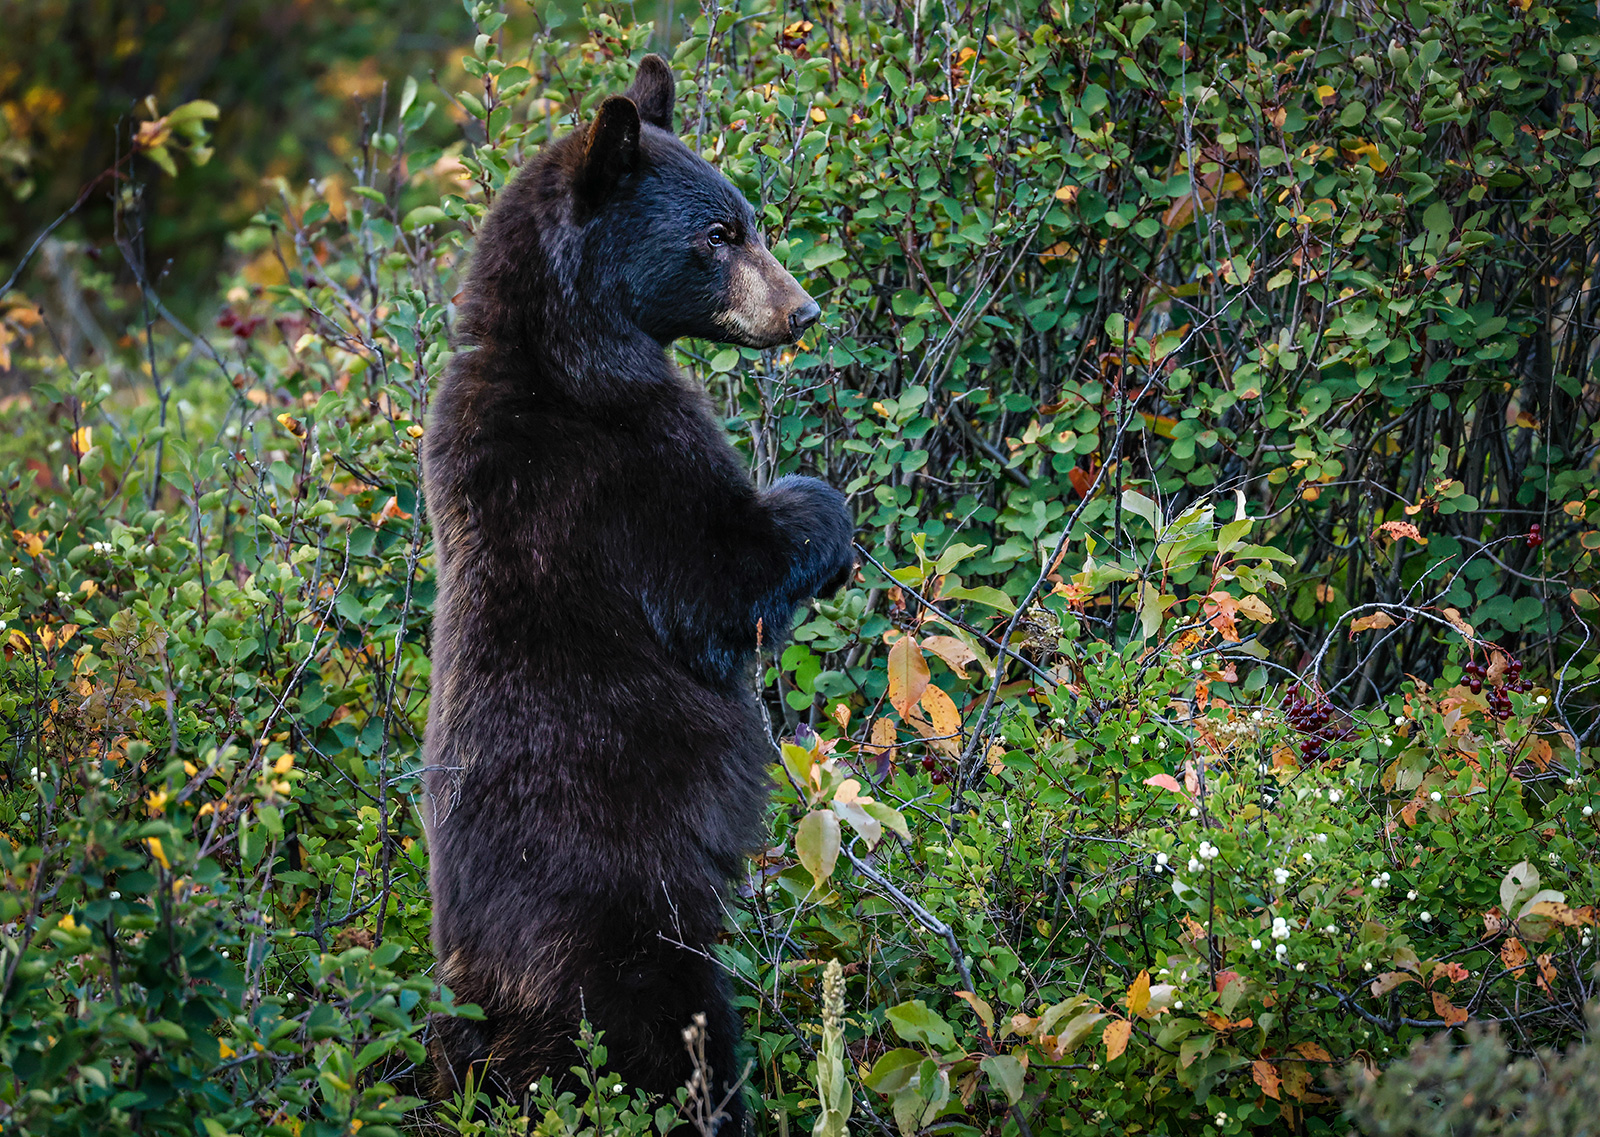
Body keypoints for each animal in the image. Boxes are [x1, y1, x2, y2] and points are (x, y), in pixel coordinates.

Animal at [419, 53, 857, 1132]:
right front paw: (816, 507)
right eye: (719, 234)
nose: (802, 311)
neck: (559, 351)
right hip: (626, 937)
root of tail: (492, 1008)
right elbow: (721, 581)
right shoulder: (625, 471)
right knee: (676, 1038)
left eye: (749, 217)